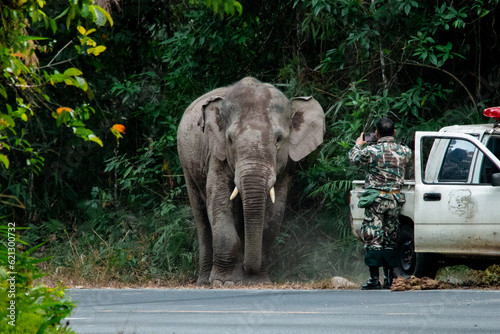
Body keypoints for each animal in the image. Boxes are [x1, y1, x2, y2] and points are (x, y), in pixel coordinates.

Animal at [176, 77, 324, 286]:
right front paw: (224, 283)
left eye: (279, 139)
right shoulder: (216, 155)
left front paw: (258, 282)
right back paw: (205, 281)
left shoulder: (287, 165)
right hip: (186, 162)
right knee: (202, 217)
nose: (248, 269)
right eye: (230, 139)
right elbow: (219, 201)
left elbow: (274, 213)